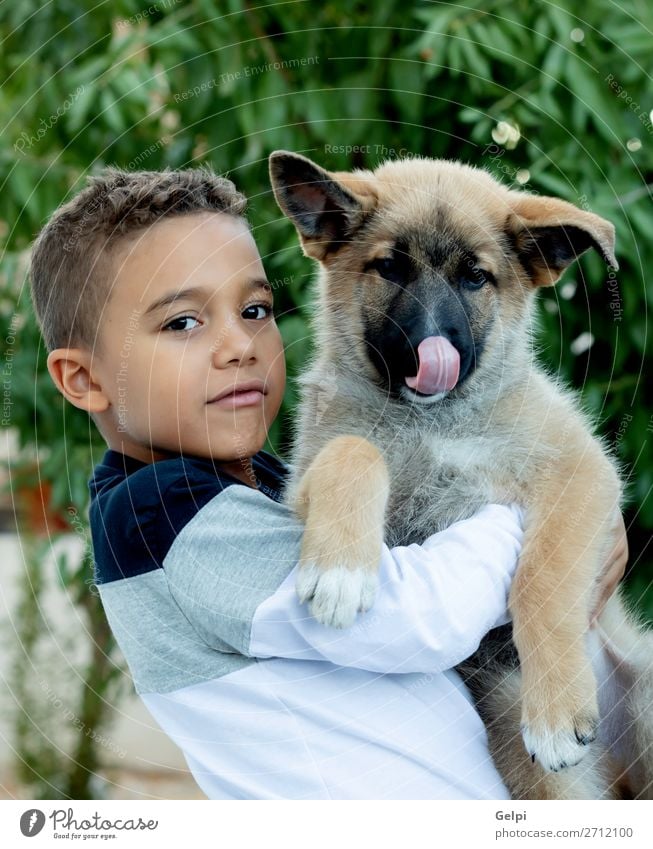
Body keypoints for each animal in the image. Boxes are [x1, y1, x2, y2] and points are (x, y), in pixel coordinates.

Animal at [266, 151, 652, 796]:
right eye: (390, 268)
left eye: (476, 278)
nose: (432, 345)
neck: (431, 423)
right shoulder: (302, 483)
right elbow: (355, 451)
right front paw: (342, 569)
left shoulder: (579, 469)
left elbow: (542, 574)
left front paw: (555, 711)